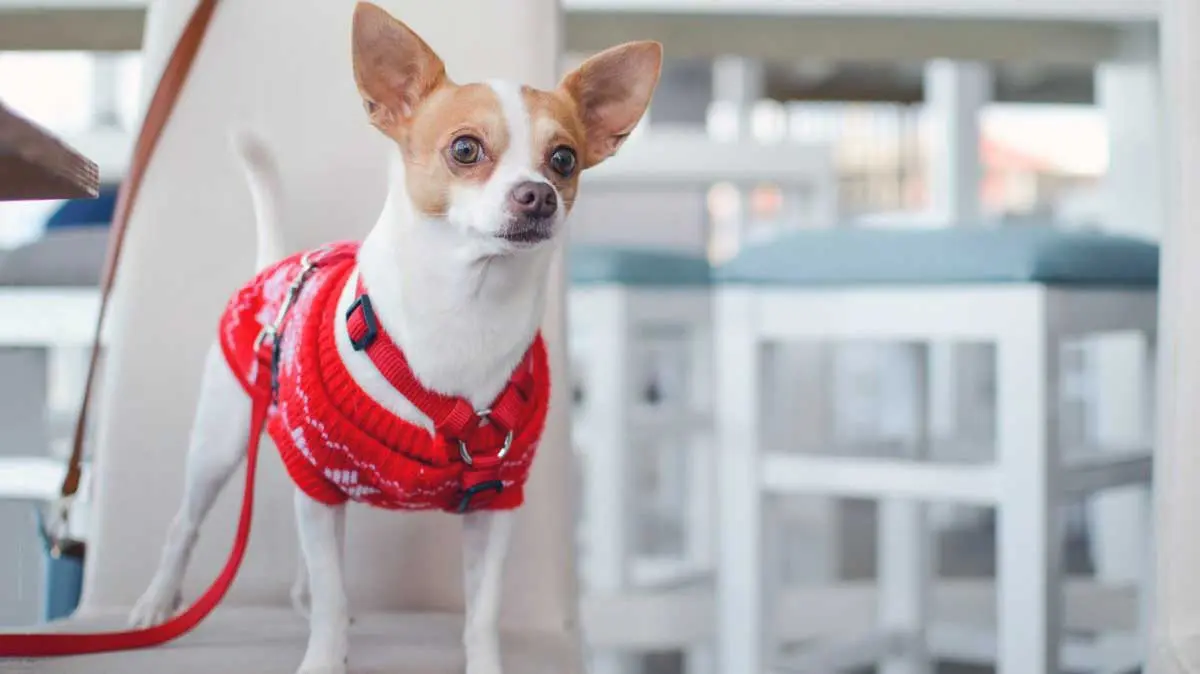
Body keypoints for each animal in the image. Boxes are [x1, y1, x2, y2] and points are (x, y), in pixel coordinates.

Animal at [129, 2, 667, 666]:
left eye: (563, 160)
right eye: (465, 148)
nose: (538, 196)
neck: (468, 310)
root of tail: (277, 265)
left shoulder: (494, 502)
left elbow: (481, 612)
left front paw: (485, 664)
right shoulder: (315, 475)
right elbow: (332, 597)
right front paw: (323, 659)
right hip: (221, 441)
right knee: (188, 524)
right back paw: (158, 601)